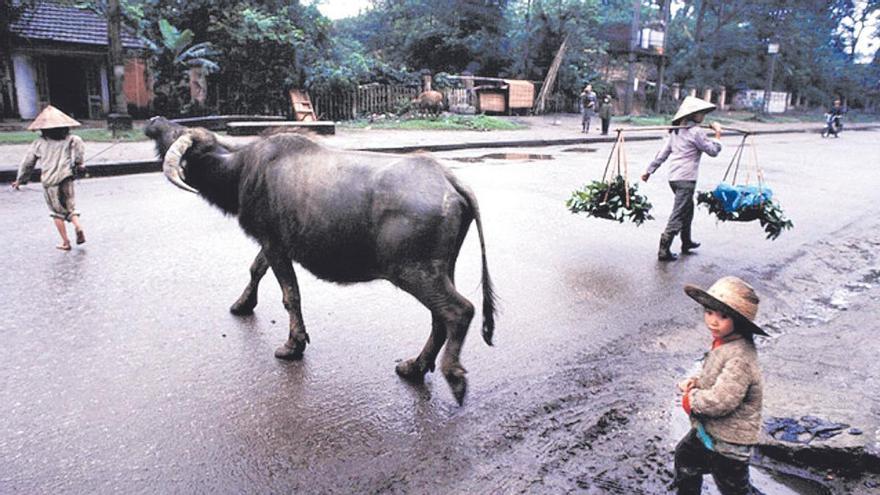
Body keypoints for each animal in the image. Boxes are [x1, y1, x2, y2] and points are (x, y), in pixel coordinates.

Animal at [148, 118, 498, 404]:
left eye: (178, 134)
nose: (154, 121)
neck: (241, 170)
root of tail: (449, 181)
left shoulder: (274, 243)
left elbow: (290, 295)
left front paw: (293, 345)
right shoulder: (272, 243)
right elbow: (256, 269)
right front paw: (243, 304)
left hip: (414, 272)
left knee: (459, 311)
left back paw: (453, 376)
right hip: (442, 268)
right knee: (439, 319)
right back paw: (414, 366)